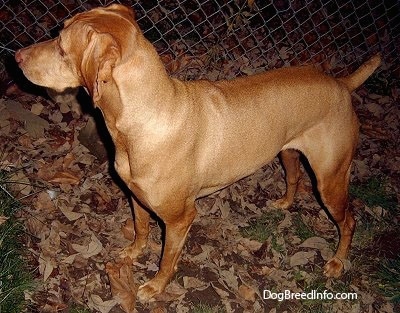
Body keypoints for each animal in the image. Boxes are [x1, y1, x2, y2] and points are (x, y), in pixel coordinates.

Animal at [15, 3, 382, 300]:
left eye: (61, 47)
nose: (16, 57)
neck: (143, 118)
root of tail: (341, 84)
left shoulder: (180, 219)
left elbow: (167, 259)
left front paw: (156, 286)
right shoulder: (136, 196)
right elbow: (141, 230)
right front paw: (133, 253)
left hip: (331, 180)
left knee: (349, 221)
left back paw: (337, 262)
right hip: (288, 152)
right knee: (294, 178)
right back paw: (284, 203)